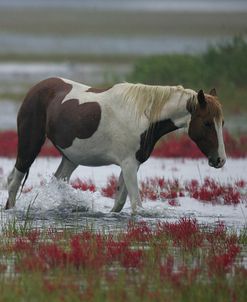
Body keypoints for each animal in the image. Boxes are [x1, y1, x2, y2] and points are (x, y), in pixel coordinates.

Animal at [5, 78, 226, 212]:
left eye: (222, 123)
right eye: (207, 123)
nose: (220, 160)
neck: (144, 116)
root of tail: (36, 89)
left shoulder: (132, 165)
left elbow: (120, 202)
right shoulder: (128, 165)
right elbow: (136, 205)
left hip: (70, 159)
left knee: (56, 180)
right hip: (29, 145)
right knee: (14, 181)